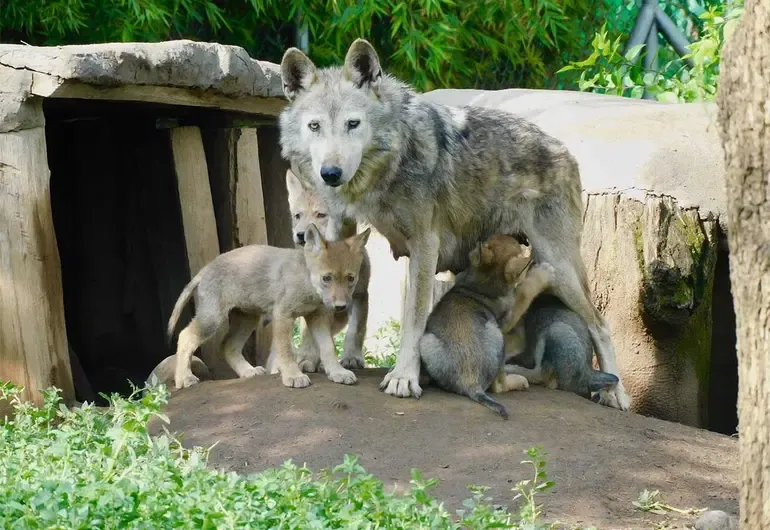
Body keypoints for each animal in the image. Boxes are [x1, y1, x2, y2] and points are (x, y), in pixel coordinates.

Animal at [168, 223, 370, 390]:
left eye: (351, 279)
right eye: (326, 278)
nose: (341, 306)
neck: (306, 282)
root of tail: (206, 268)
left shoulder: (318, 317)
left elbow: (328, 347)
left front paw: (337, 372)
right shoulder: (282, 315)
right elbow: (286, 351)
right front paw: (293, 376)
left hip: (247, 319)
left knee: (227, 346)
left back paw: (248, 372)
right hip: (212, 319)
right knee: (185, 336)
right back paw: (184, 378)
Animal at [420, 235, 553, 419]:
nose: (524, 241)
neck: (481, 285)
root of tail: (470, 382)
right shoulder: (507, 319)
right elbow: (524, 292)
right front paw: (544, 273)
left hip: (426, 342)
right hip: (498, 336)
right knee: (499, 386)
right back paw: (518, 381)